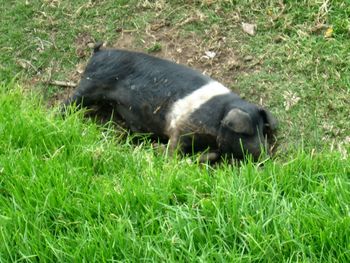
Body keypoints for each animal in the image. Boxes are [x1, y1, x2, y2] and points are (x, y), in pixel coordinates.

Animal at [62, 43, 276, 163]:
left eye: (262, 130)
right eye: (246, 133)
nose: (266, 155)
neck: (218, 117)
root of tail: (98, 52)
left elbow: (213, 154)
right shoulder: (181, 126)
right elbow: (174, 148)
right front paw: (166, 157)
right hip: (90, 84)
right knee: (69, 102)